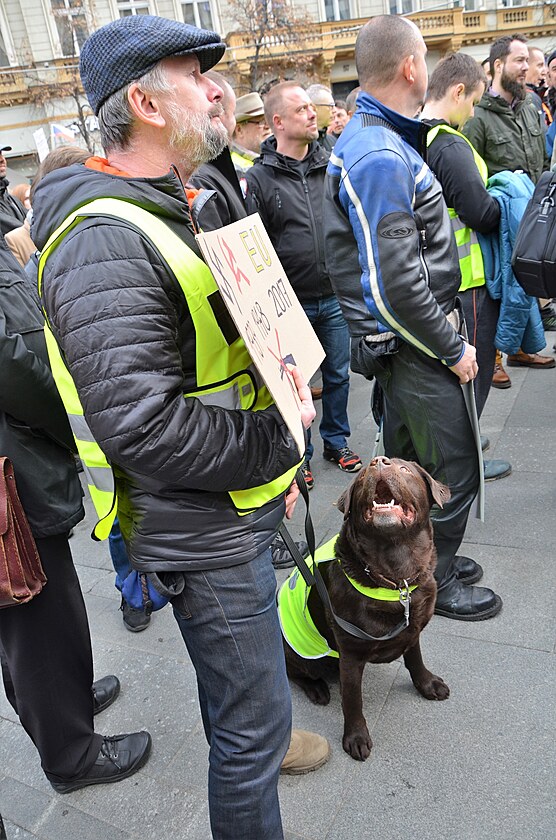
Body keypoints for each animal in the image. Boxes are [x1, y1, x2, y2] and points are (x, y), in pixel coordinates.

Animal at [284, 456, 450, 764]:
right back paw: (317, 689)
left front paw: (427, 684)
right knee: (295, 672)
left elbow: (415, 659)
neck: (396, 576)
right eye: (361, 477)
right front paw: (356, 738)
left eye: (405, 469)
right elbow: (352, 700)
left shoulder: (413, 628)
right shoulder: (350, 653)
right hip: (298, 653)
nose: (378, 462)